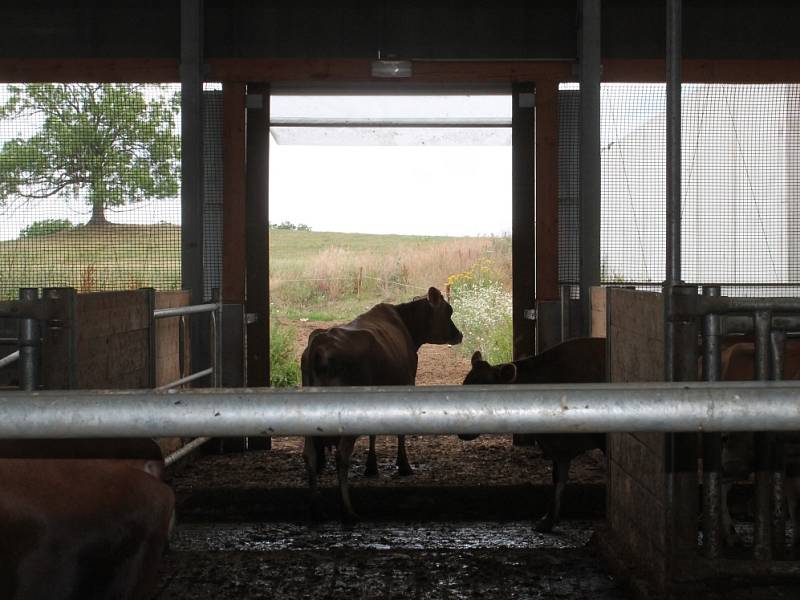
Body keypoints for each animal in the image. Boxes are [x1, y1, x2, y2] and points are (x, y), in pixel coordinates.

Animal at [300, 286, 462, 520]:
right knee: (341, 455)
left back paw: (316, 508)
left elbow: (373, 432)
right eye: (448, 311)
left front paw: (371, 467)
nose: (459, 335)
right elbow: (400, 432)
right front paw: (403, 466)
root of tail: (320, 343)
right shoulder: (407, 383)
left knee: (310, 455)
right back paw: (348, 510)